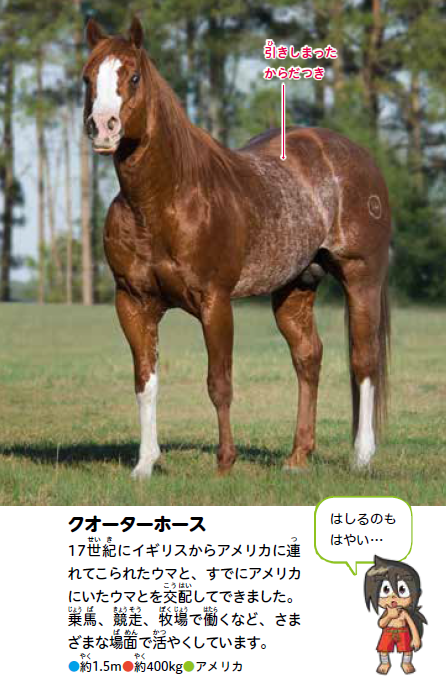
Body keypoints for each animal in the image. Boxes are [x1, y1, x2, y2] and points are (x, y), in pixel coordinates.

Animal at [82, 17, 391, 479]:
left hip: (361, 278)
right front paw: (144, 465)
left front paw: (225, 462)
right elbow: (145, 382)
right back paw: (297, 457)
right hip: (295, 287)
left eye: (133, 76)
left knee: (364, 361)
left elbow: (219, 383)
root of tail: (356, 156)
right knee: (308, 359)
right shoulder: (133, 302)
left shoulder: (215, 301)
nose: (103, 127)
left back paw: (362, 456)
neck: (162, 200)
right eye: (87, 78)